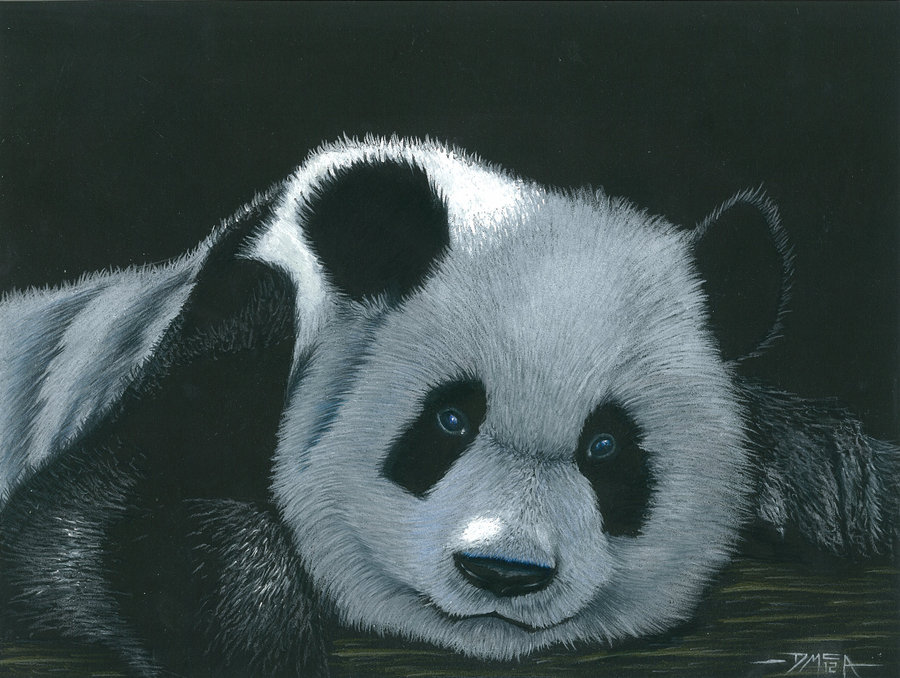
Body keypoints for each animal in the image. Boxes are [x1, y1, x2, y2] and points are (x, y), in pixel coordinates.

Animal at [0, 136, 896, 677]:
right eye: (448, 421)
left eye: (607, 449)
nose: (504, 572)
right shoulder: (234, 330)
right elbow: (70, 536)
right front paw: (264, 638)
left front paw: (813, 474)